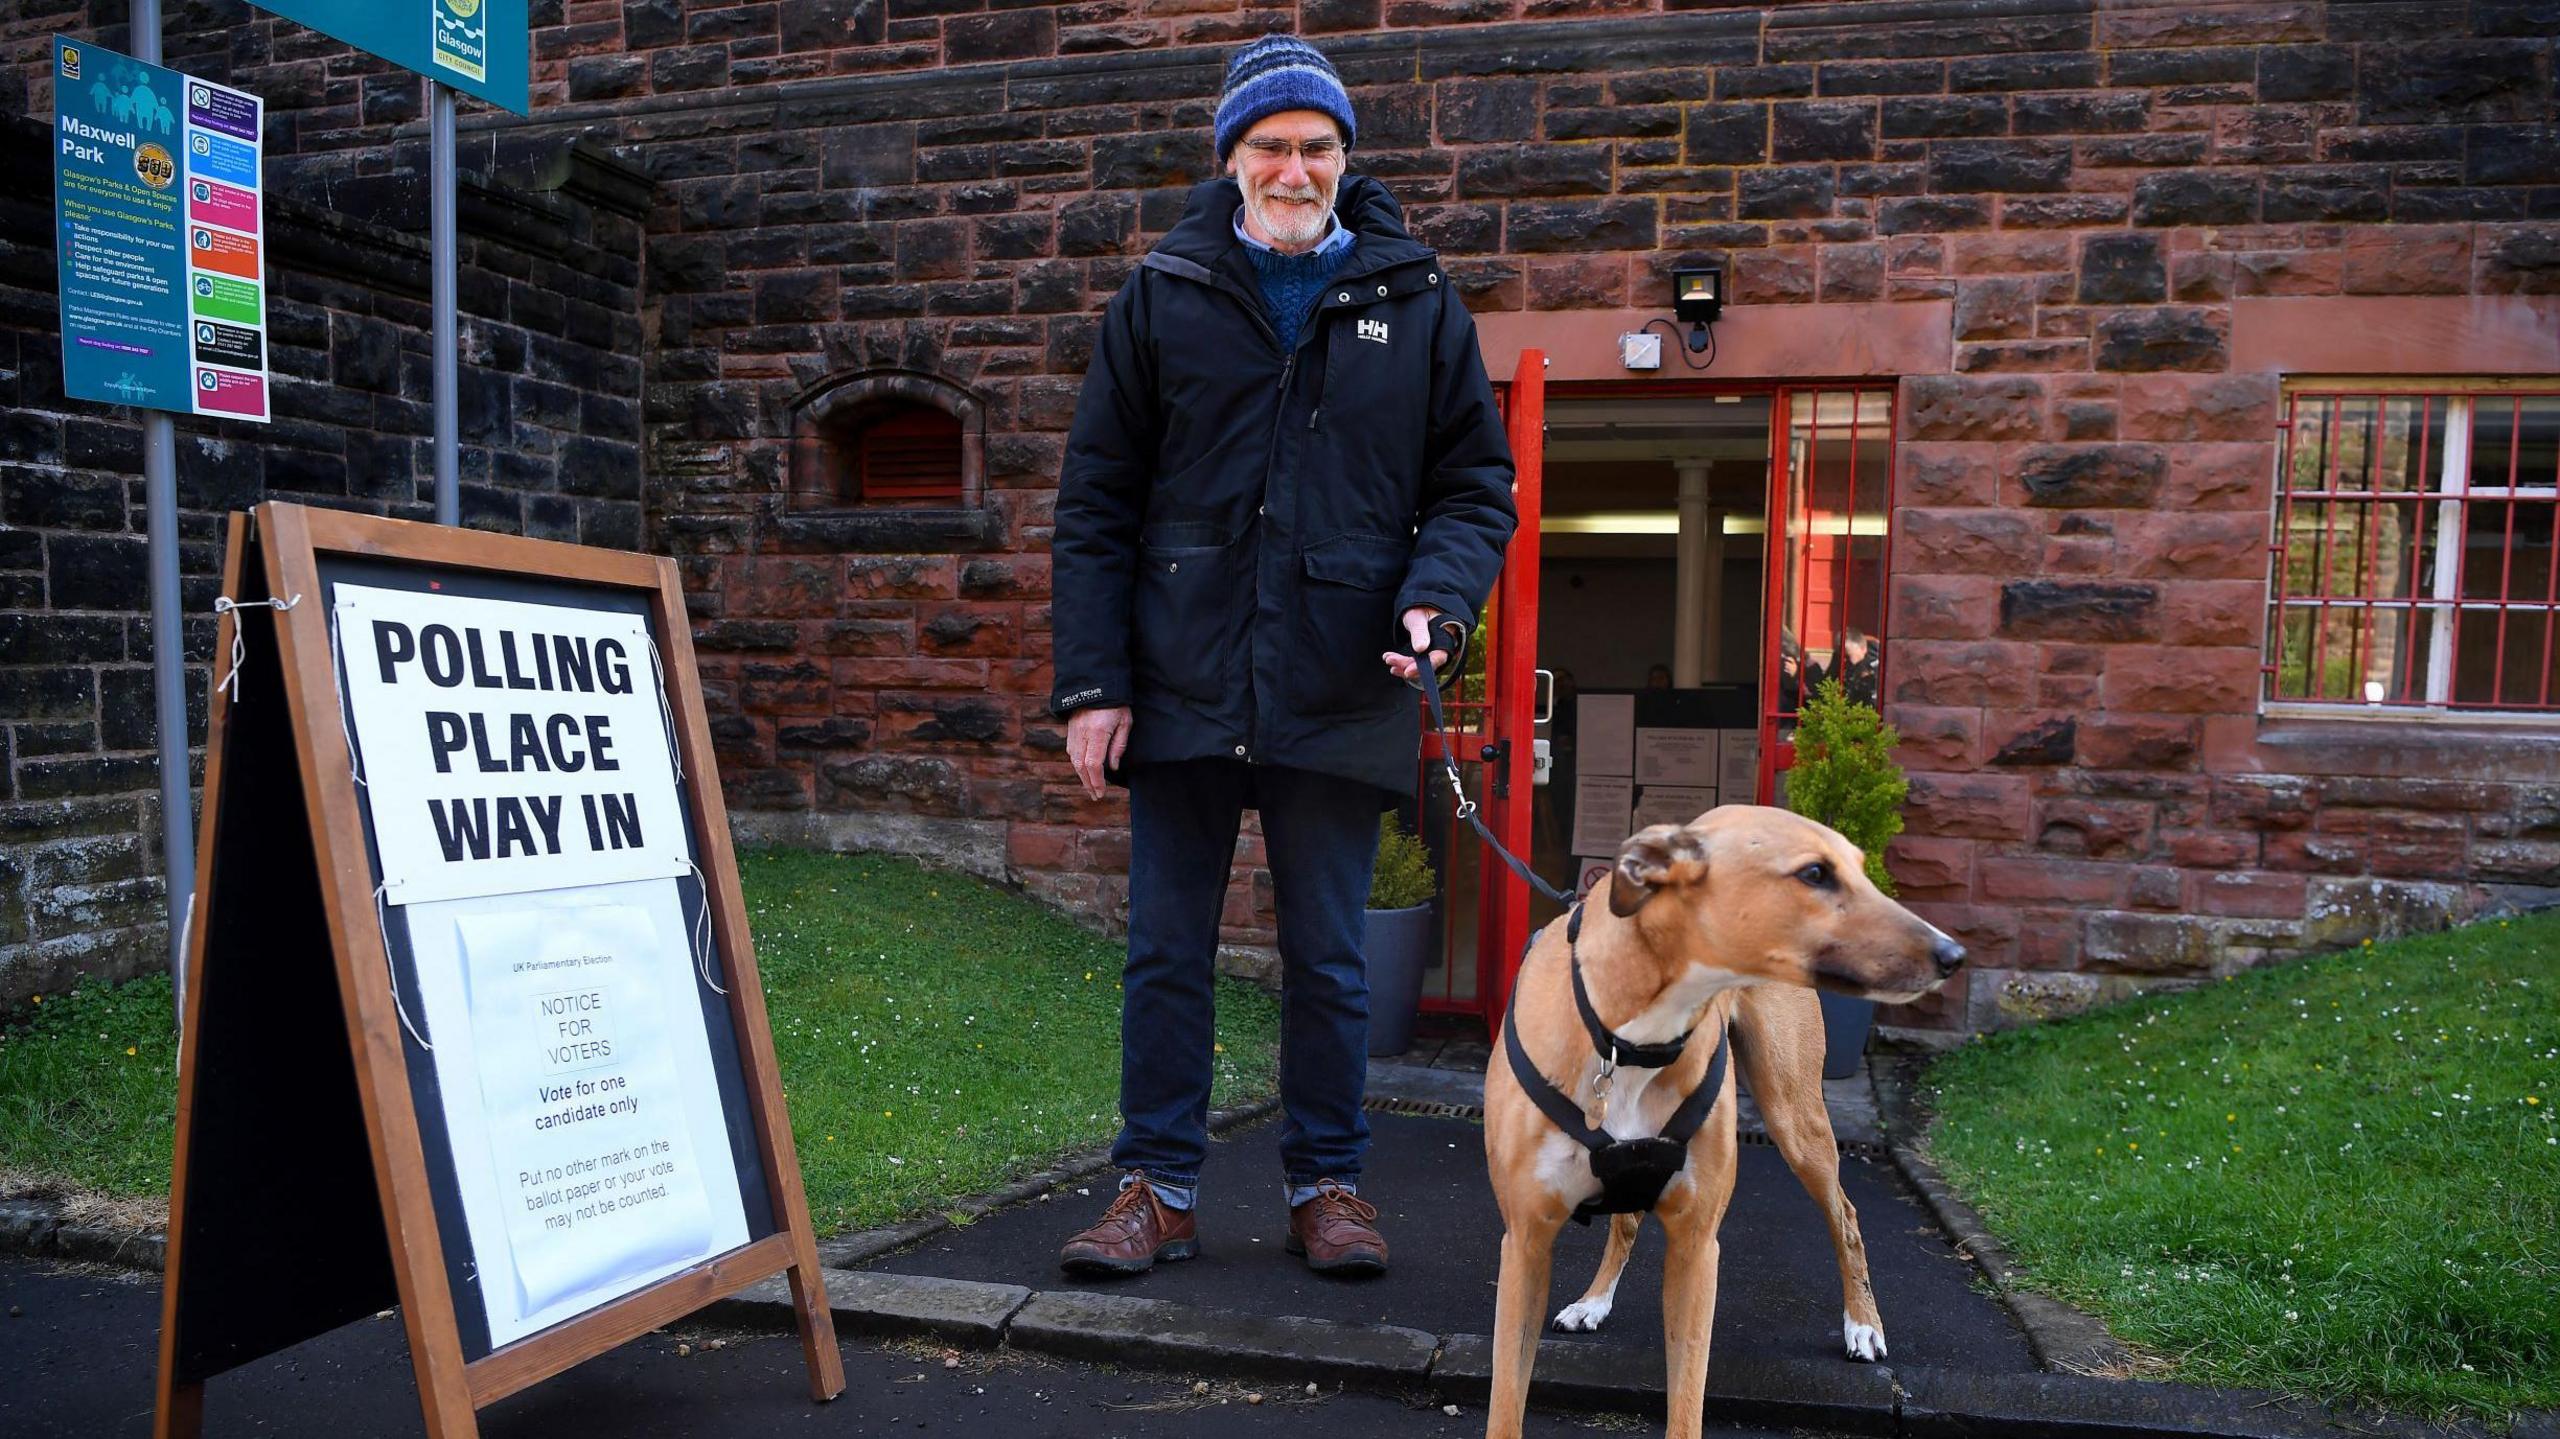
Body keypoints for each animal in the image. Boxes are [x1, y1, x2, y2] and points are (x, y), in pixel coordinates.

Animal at [1484, 809, 1955, 1433]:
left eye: (1860, 867)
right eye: (1815, 873)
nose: (1954, 955)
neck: (1629, 1038)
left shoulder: (1696, 1249)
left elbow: (1687, 1405)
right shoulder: (1525, 1243)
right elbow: (1505, 1409)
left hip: (1795, 1117)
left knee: (1846, 1215)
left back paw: (1863, 1325)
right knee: (1627, 1219)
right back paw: (1593, 1301)